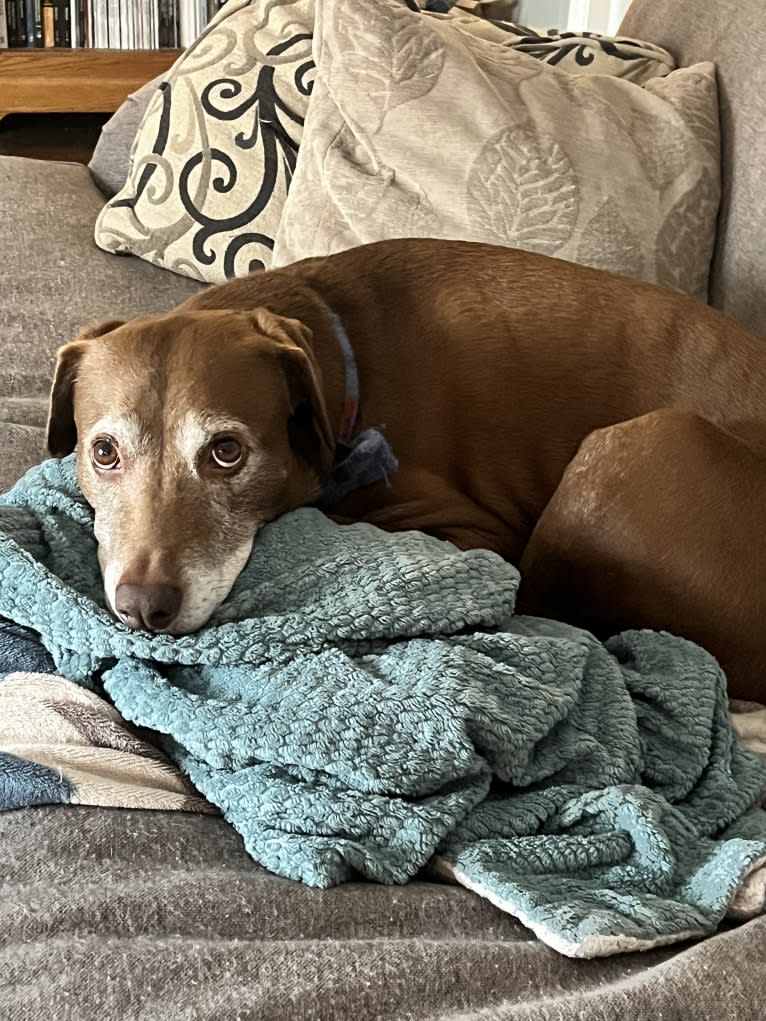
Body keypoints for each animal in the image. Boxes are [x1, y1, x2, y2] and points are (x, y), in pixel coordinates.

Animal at [46, 238, 766, 702]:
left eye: (227, 451)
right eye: (104, 452)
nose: (144, 607)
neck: (338, 359)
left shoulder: (473, 533)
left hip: (639, 445)